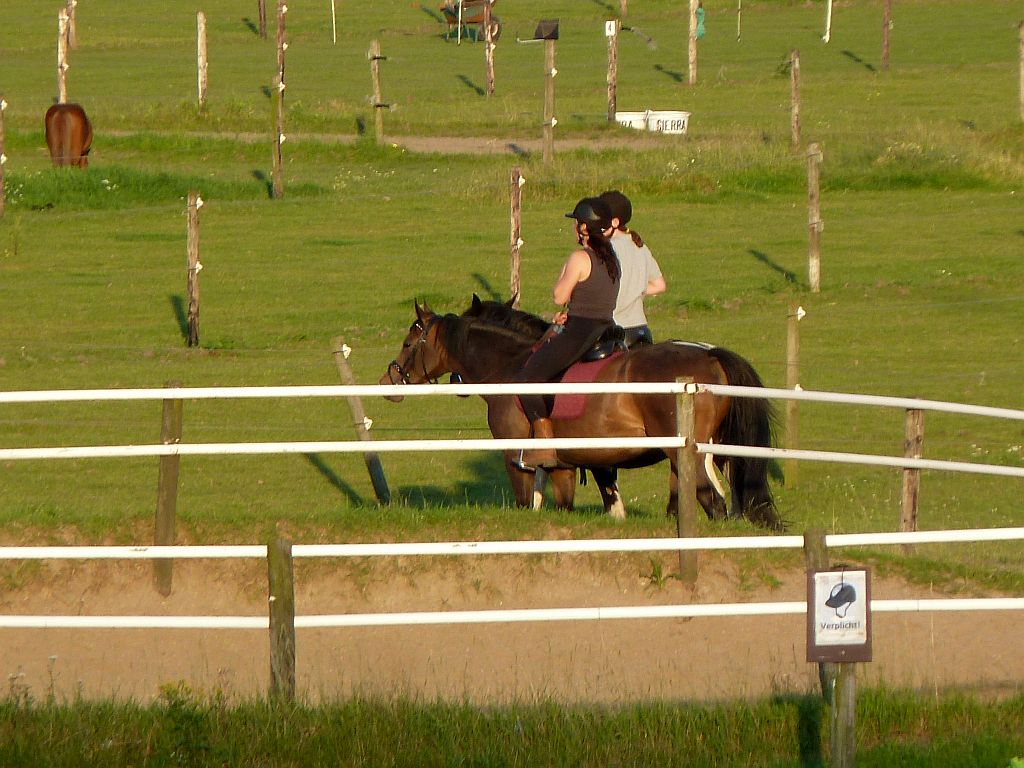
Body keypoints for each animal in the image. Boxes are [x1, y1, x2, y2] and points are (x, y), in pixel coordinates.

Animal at [385, 296, 782, 532]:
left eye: (408, 344)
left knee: (711, 500)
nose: (389, 380)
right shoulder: (566, 466)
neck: (512, 363)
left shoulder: (518, 460)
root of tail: (709, 353)